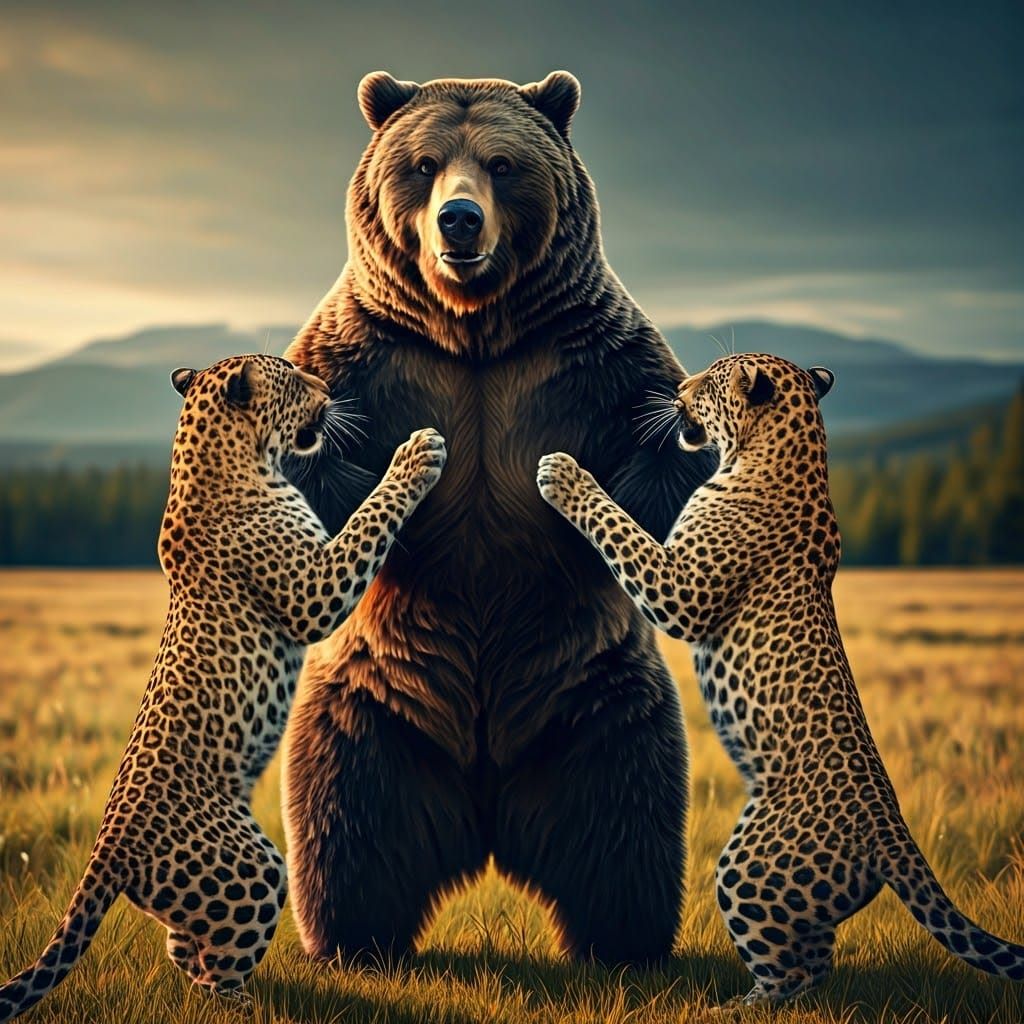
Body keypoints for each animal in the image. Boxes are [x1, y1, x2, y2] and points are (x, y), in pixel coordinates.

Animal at [281, 70, 714, 964]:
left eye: (504, 163)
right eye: (422, 164)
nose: (459, 218)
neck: (474, 332)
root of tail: (483, 814)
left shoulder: (589, 357)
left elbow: (659, 464)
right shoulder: (369, 354)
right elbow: (315, 487)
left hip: (597, 703)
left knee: (623, 823)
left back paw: (623, 942)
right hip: (371, 706)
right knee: (347, 817)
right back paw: (350, 938)